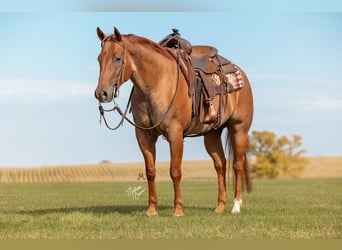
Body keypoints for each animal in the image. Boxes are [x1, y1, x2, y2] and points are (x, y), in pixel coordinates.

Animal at [94, 26, 254, 216]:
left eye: (118, 58)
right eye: (99, 59)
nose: (101, 93)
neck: (157, 82)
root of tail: (240, 72)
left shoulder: (175, 133)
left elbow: (175, 171)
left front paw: (178, 209)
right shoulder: (144, 135)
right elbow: (150, 171)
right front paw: (151, 209)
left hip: (239, 129)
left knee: (237, 165)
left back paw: (236, 205)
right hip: (212, 134)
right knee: (220, 165)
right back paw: (220, 206)